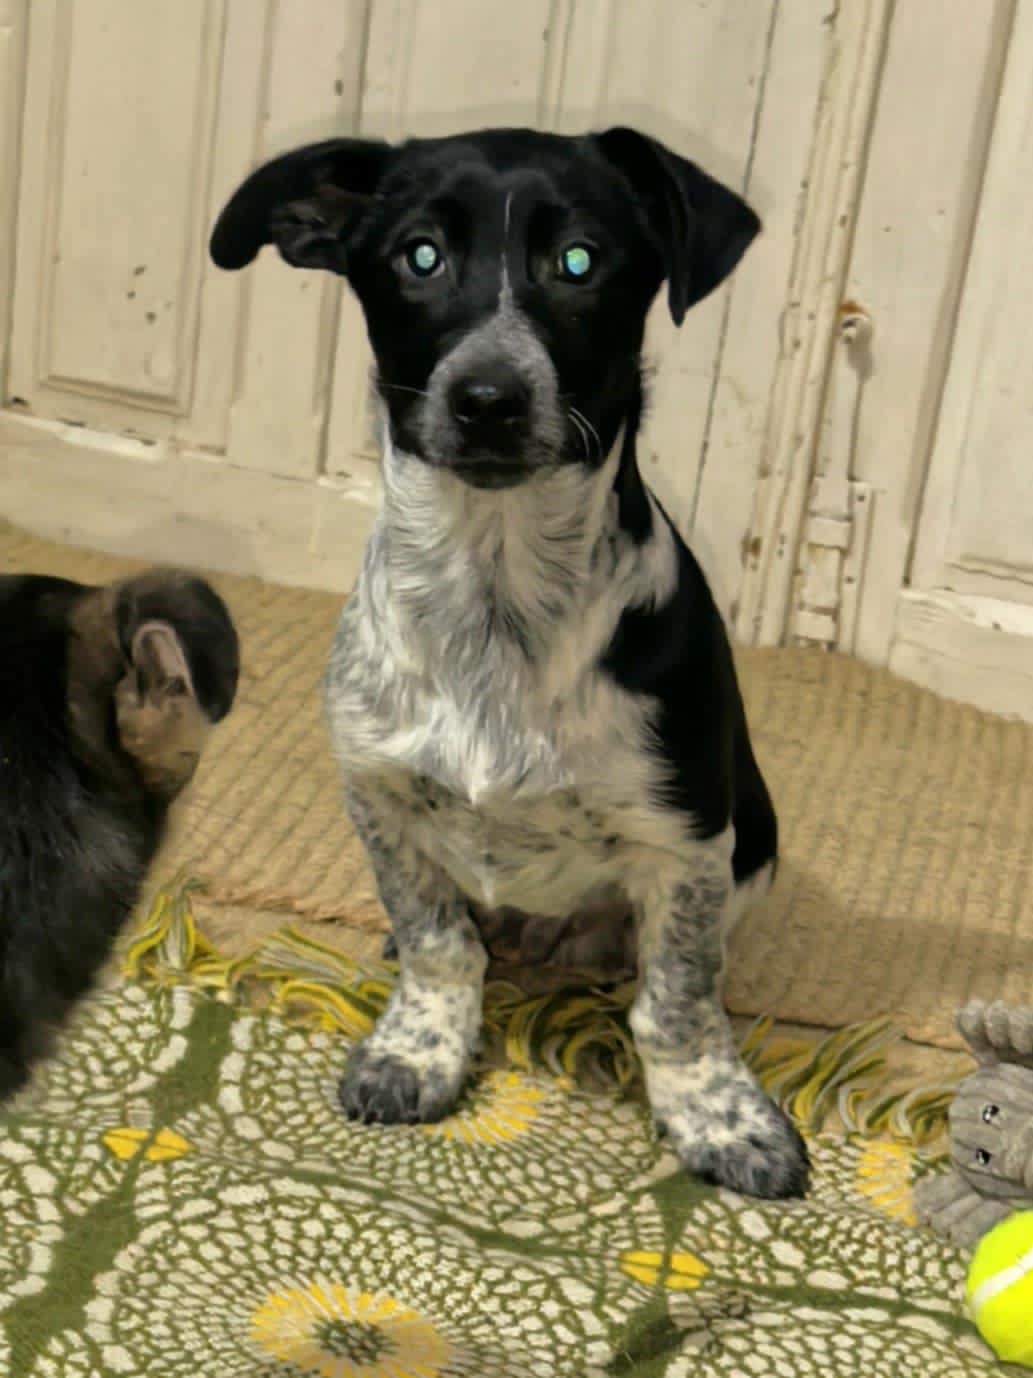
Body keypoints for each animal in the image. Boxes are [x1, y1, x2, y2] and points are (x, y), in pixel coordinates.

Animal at [210, 126, 809, 1199]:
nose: (487, 399)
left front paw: (718, 1115)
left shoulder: (687, 839)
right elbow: (437, 943)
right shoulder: (378, 794)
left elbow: (679, 1001)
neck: (496, 599)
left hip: (755, 832)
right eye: (418, 256)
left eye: (578, 260)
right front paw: (417, 1050)